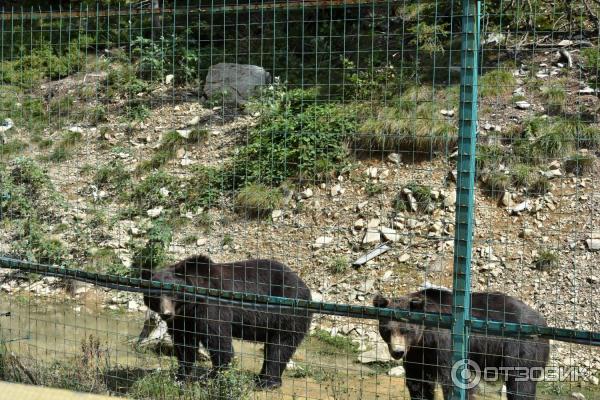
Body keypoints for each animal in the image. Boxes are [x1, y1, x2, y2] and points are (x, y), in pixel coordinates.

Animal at [143, 255, 314, 390]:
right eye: (155, 294)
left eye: (173, 291)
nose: (166, 314)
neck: (190, 306)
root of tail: (306, 287)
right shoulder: (183, 320)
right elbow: (185, 345)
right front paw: (179, 378)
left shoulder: (211, 307)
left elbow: (219, 342)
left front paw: (212, 377)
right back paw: (261, 378)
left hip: (287, 311)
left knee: (280, 345)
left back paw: (266, 383)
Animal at [372, 288, 552, 400]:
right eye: (387, 330)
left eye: (406, 330)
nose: (397, 351)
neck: (425, 338)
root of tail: (542, 321)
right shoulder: (418, 353)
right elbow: (418, 383)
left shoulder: (444, 345)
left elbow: (453, 380)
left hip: (522, 347)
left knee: (521, 384)